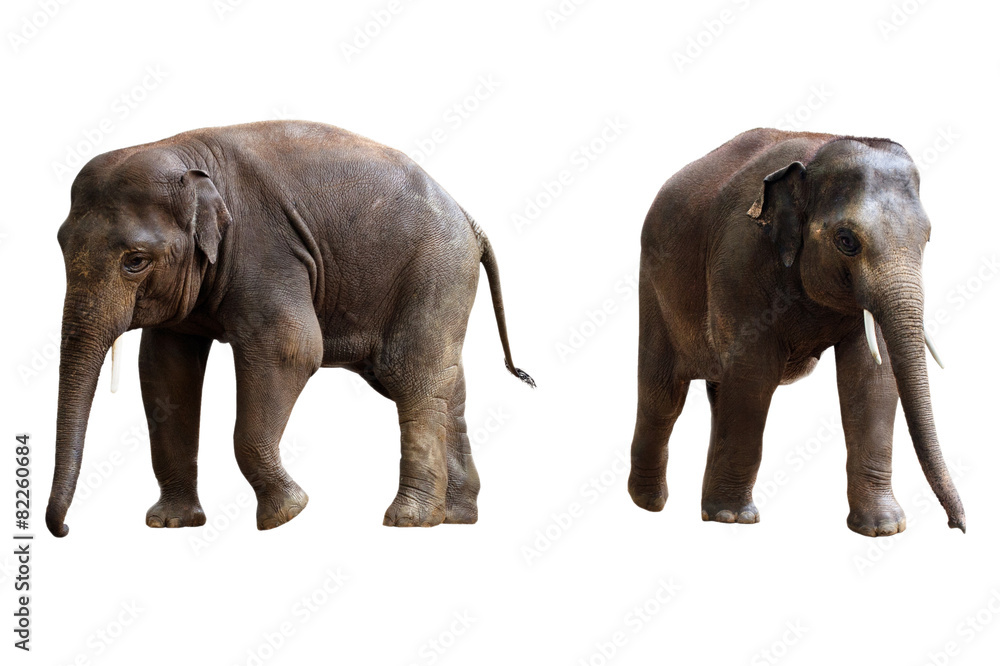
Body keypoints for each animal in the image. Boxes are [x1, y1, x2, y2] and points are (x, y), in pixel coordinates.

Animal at [46, 120, 534, 538]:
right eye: (61, 246)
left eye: (135, 261)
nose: (64, 528)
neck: (188, 154)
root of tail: (470, 220)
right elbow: (164, 371)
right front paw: (170, 524)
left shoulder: (264, 248)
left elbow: (291, 349)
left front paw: (286, 514)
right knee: (448, 385)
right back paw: (458, 517)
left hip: (435, 270)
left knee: (412, 377)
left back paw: (409, 520)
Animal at [627, 128, 964, 537]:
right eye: (846, 240)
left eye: (927, 238)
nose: (958, 526)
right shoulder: (741, 258)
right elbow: (754, 373)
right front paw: (735, 519)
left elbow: (872, 379)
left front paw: (884, 528)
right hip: (654, 287)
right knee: (663, 396)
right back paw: (650, 504)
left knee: (717, 391)